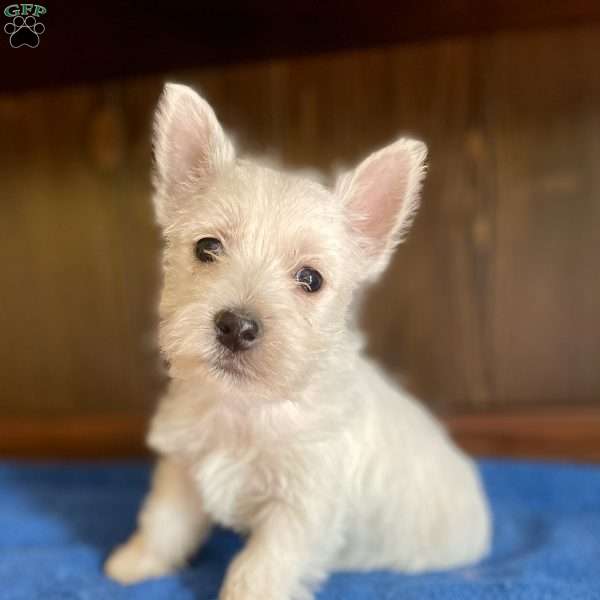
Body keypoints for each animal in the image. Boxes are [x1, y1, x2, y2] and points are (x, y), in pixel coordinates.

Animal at [105, 83, 490, 600]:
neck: (245, 407)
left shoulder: (301, 508)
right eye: (207, 247)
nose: (236, 326)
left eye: (311, 279)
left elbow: (260, 566)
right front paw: (135, 563)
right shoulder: (182, 467)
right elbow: (165, 522)